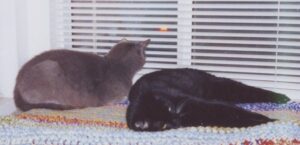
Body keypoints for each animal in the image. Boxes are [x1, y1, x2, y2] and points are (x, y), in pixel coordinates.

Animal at [14, 38, 150, 111]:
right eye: (144, 53)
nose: (146, 58)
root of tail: (16, 85)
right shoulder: (110, 98)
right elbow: (113, 101)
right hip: (49, 68)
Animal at [126, 68, 290, 131]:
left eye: (169, 108)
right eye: (163, 125)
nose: (176, 118)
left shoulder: (198, 103)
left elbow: (234, 111)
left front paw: (267, 120)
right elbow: (229, 118)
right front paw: (263, 122)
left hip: (225, 87)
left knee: (252, 91)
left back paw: (283, 97)